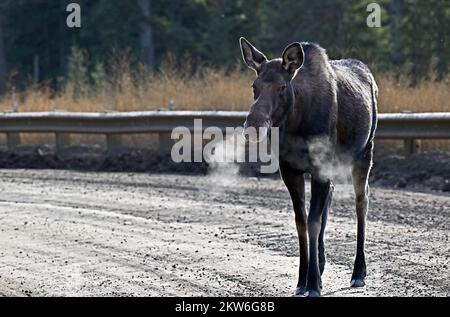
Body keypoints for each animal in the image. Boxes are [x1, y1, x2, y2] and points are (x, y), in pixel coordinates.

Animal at [241, 37, 378, 296]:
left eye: (282, 87)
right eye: (254, 86)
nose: (253, 125)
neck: (296, 124)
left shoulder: (320, 167)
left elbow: (313, 221)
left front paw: (313, 284)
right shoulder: (289, 170)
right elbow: (301, 221)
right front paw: (302, 280)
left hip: (365, 152)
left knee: (361, 201)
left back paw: (358, 272)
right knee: (331, 197)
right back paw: (322, 265)